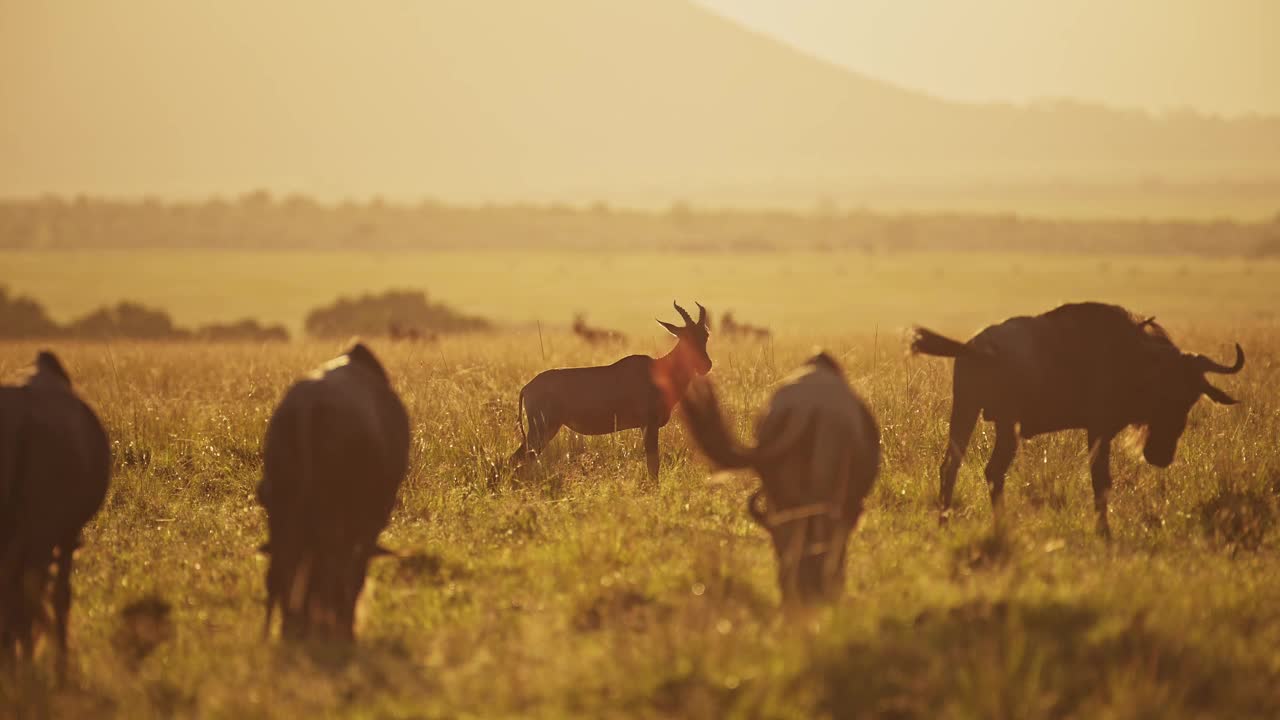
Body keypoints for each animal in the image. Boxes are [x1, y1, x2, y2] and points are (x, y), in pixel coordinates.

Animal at [506, 299, 711, 479]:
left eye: (705, 335)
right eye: (685, 337)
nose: (705, 365)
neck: (658, 369)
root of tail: (527, 387)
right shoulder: (649, 424)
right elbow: (653, 465)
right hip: (541, 430)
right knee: (516, 459)